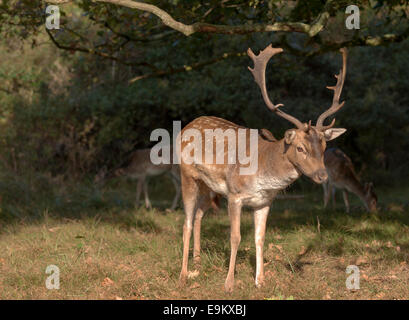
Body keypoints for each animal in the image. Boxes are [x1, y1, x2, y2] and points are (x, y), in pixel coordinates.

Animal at [178, 45, 348, 292]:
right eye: (300, 148)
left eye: (324, 146)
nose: (322, 175)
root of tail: (187, 126)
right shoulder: (235, 195)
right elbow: (236, 237)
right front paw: (229, 283)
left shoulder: (265, 201)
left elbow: (260, 238)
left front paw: (261, 281)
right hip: (187, 175)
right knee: (187, 222)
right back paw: (183, 275)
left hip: (209, 187)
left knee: (199, 215)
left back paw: (198, 265)